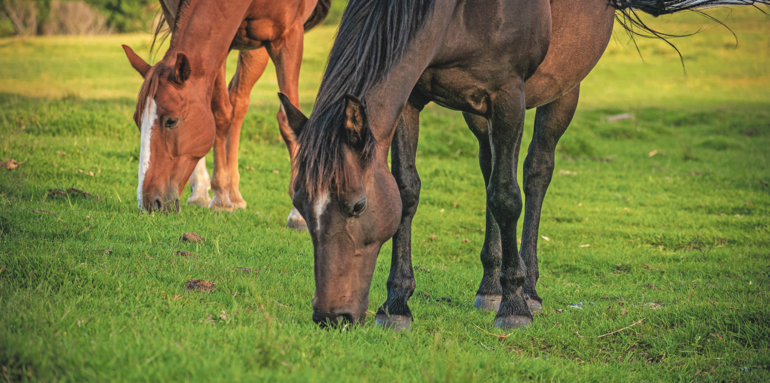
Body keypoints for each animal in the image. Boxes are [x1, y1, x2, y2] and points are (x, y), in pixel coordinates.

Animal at [124, 0, 330, 231]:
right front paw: (220, 197)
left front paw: (298, 214)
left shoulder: (289, 34)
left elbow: (287, 119)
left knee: (239, 101)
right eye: (137, 121)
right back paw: (204, 192)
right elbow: (219, 113)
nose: (149, 203)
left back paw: (235, 195)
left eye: (171, 121)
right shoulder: (221, 42)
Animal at [278, 0, 768, 330]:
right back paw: (489, 287)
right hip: (477, 112)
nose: (332, 316)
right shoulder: (414, 96)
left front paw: (514, 307)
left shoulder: (508, 94)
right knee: (490, 164)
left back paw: (527, 290)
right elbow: (408, 191)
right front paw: (397, 304)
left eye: (357, 206)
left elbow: (507, 196)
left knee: (535, 172)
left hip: (563, 89)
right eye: (300, 208)